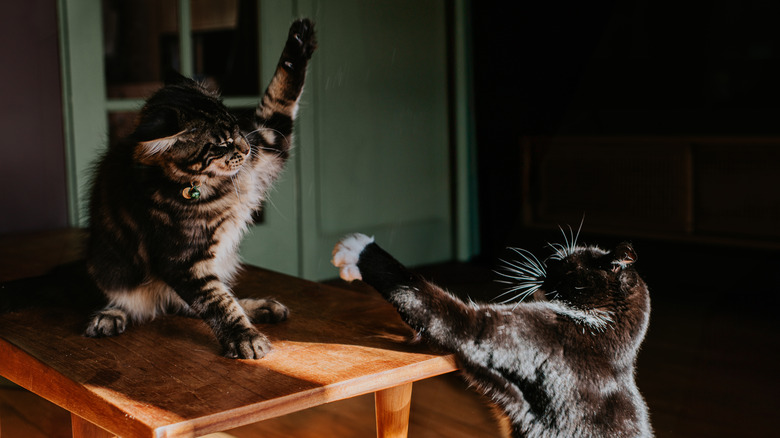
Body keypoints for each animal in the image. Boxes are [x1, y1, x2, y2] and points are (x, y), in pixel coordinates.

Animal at [84, 18, 314, 360]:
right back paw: (108, 316)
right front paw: (245, 338)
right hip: (109, 269)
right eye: (220, 145)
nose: (246, 148)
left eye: (238, 127)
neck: (213, 186)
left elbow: (280, 96)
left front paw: (299, 40)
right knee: (149, 304)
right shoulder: (182, 261)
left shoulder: (270, 144)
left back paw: (263, 307)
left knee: (193, 304)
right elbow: (217, 303)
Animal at [332, 231, 656, 436]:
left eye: (564, 263)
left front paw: (358, 252)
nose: (547, 261)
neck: (604, 333)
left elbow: (426, 297)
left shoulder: (489, 332)